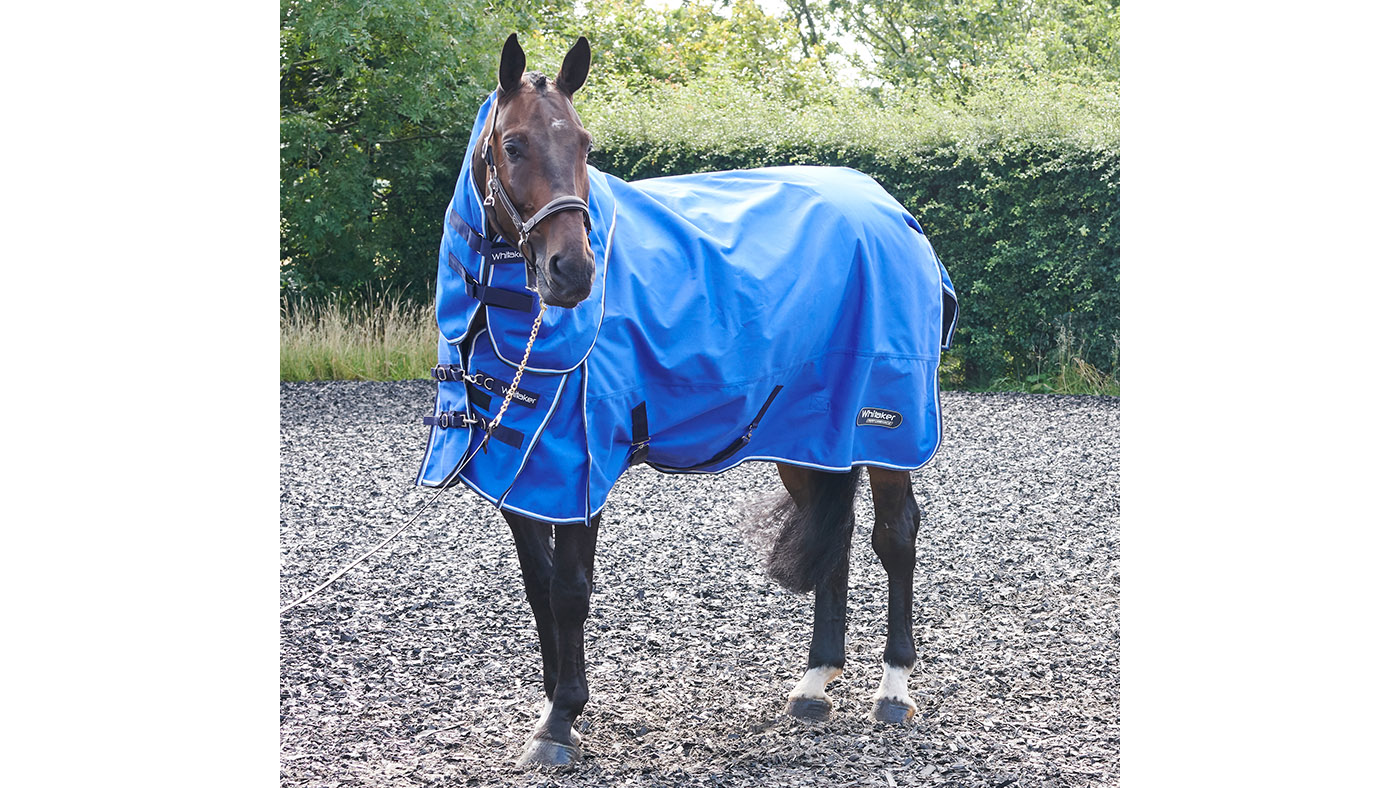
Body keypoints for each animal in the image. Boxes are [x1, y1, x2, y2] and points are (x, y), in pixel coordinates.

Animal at [417, 34, 958, 768]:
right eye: (515, 145)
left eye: (584, 143)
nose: (574, 272)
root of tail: (892, 209)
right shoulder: (523, 468)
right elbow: (538, 586)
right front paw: (554, 707)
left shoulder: (579, 464)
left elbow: (570, 590)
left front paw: (561, 719)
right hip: (806, 434)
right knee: (837, 533)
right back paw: (815, 682)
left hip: (886, 430)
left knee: (894, 537)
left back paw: (894, 688)